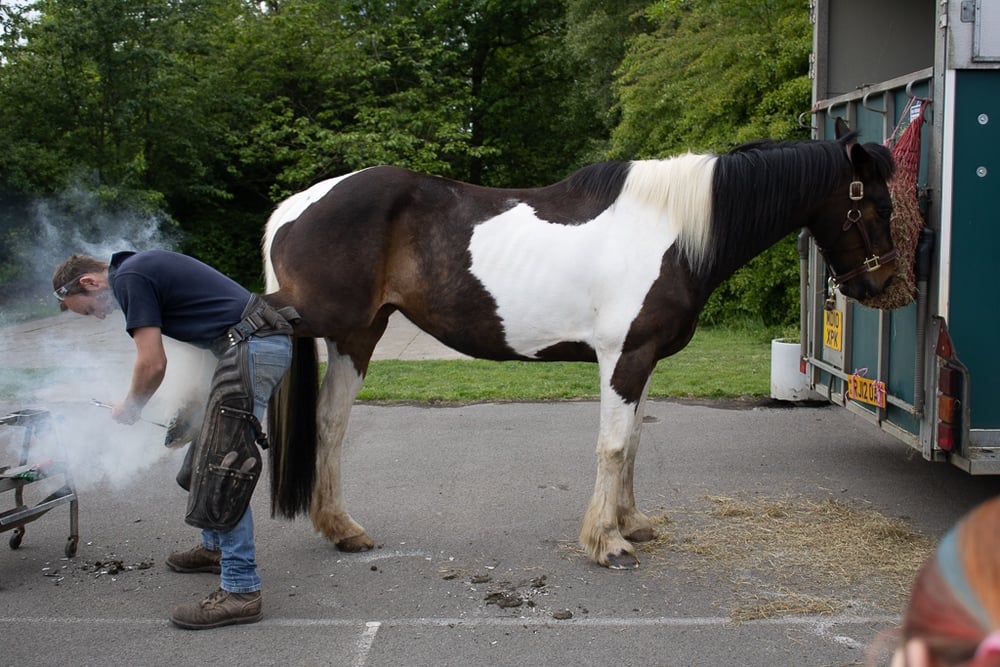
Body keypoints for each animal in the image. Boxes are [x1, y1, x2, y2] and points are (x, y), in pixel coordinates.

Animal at [261, 119, 897, 569]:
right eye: (874, 203)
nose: (883, 283)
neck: (671, 231)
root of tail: (295, 207)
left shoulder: (644, 360)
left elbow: (634, 442)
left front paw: (631, 522)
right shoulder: (624, 356)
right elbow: (613, 447)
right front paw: (608, 542)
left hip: (357, 334)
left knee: (330, 421)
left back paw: (342, 529)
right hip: (311, 318)